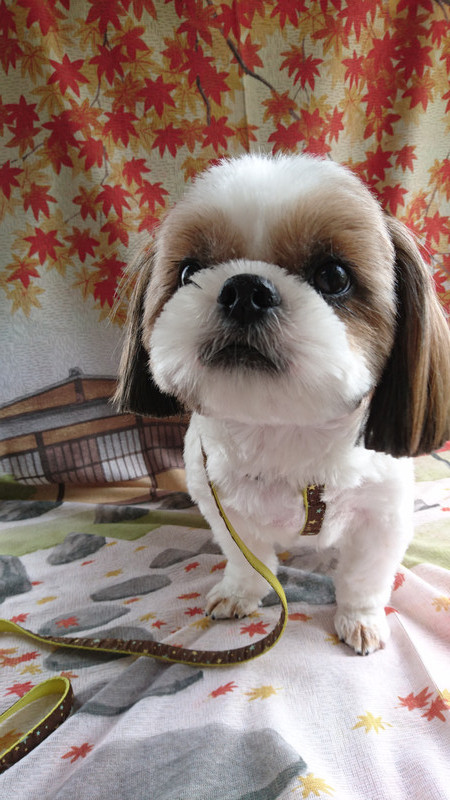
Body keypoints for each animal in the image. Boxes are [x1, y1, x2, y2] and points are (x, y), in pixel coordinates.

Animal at [115, 154, 450, 655]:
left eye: (333, 276)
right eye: (188, 271)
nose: (245, 290)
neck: (283, 430)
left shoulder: (382, 516)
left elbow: (364, 577)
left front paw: (361, 618)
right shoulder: (223, 506)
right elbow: (245, 559)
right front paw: (240, 593)